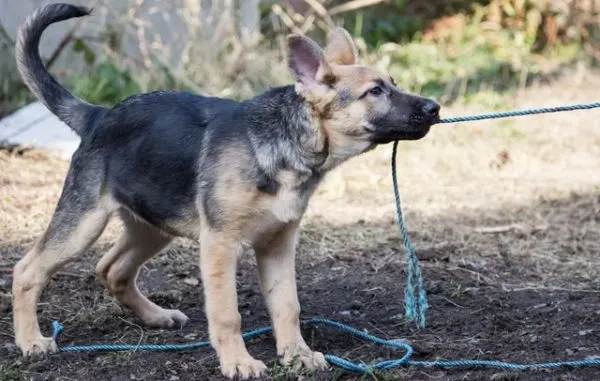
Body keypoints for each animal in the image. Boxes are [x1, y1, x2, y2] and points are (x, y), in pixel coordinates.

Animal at [12, 2, 440, 378]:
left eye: (393, 84)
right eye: (375, 92)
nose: (435, 108)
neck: (286, 145)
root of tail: (98, 115)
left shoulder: (278, 244)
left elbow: (288, 305)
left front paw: (297, 354)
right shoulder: (219, 245)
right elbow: (226, 313)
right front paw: (239, 362)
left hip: (153, 224)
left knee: (112, 268)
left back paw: (156, 316)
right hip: (83, 223)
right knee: (27, 270)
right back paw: (31, 341)